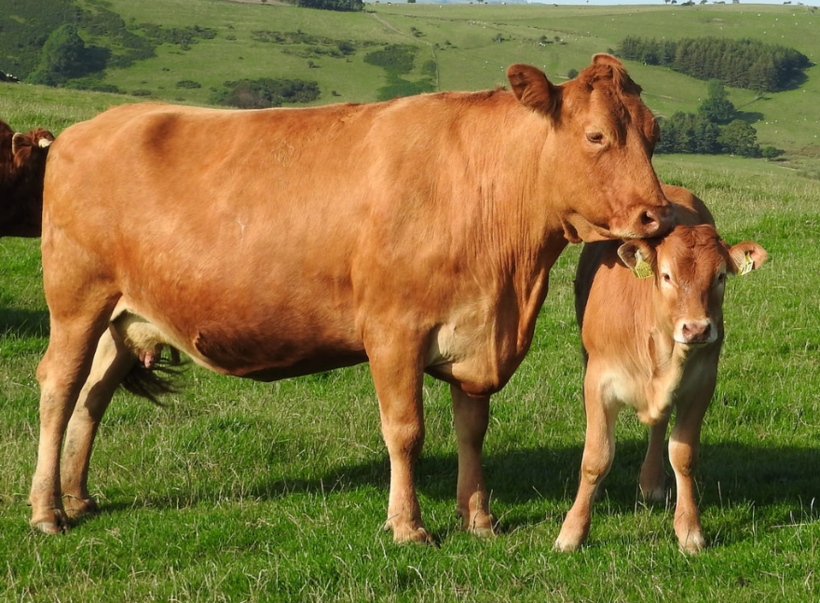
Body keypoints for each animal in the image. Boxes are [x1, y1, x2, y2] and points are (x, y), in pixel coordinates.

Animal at [30, 54, 672, 540]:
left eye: (654, 133)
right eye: (596, 136)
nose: (657, 215)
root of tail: (88, 127)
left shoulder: (478, 333)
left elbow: (472, 429)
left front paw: (480, 519)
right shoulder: (393, 331)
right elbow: (405, 431)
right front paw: (409, 526)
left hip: (122, 315)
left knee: (93, 395)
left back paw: (78, 496)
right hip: (76, 300)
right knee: (60, 387)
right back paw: (47, 512)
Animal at [556, 188, 764, 552]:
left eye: (720, 277)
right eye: (666, 275)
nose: (696, 329)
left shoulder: (702, 385)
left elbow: (683, 455)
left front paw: (690, 530)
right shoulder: (598, 382)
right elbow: (596, 457)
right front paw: (572, 531)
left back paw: (651, 481)